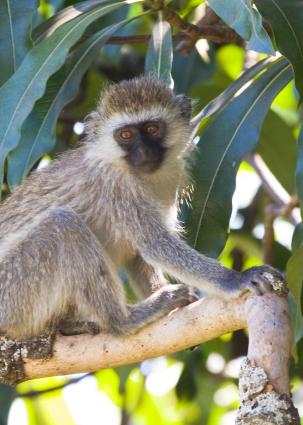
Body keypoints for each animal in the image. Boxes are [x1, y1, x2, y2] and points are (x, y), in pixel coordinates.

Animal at [0, 76, 276, 340]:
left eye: (152, 129)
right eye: (126, 135)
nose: (144, 152)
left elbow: (137, 254)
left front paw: (161, 293)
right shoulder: (119, 187)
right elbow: (155, 244)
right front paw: (236, 279)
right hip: (12, 290)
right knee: (63, 225)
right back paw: (122, 320)